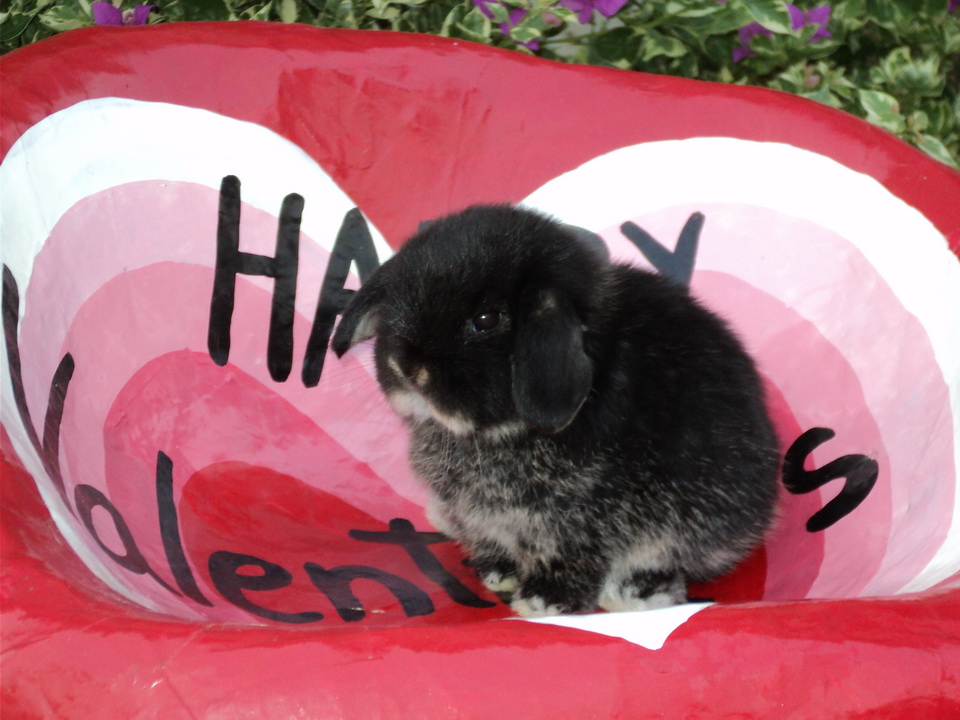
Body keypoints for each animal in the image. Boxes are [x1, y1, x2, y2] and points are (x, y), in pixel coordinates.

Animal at [331, 204, 780, 617]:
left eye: (486, 319)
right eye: (395, 302)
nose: (406, 367)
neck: (496, 435)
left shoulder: (577, 524)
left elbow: (569, 559)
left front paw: (542, 601)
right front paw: (498, 573)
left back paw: (634, 593)